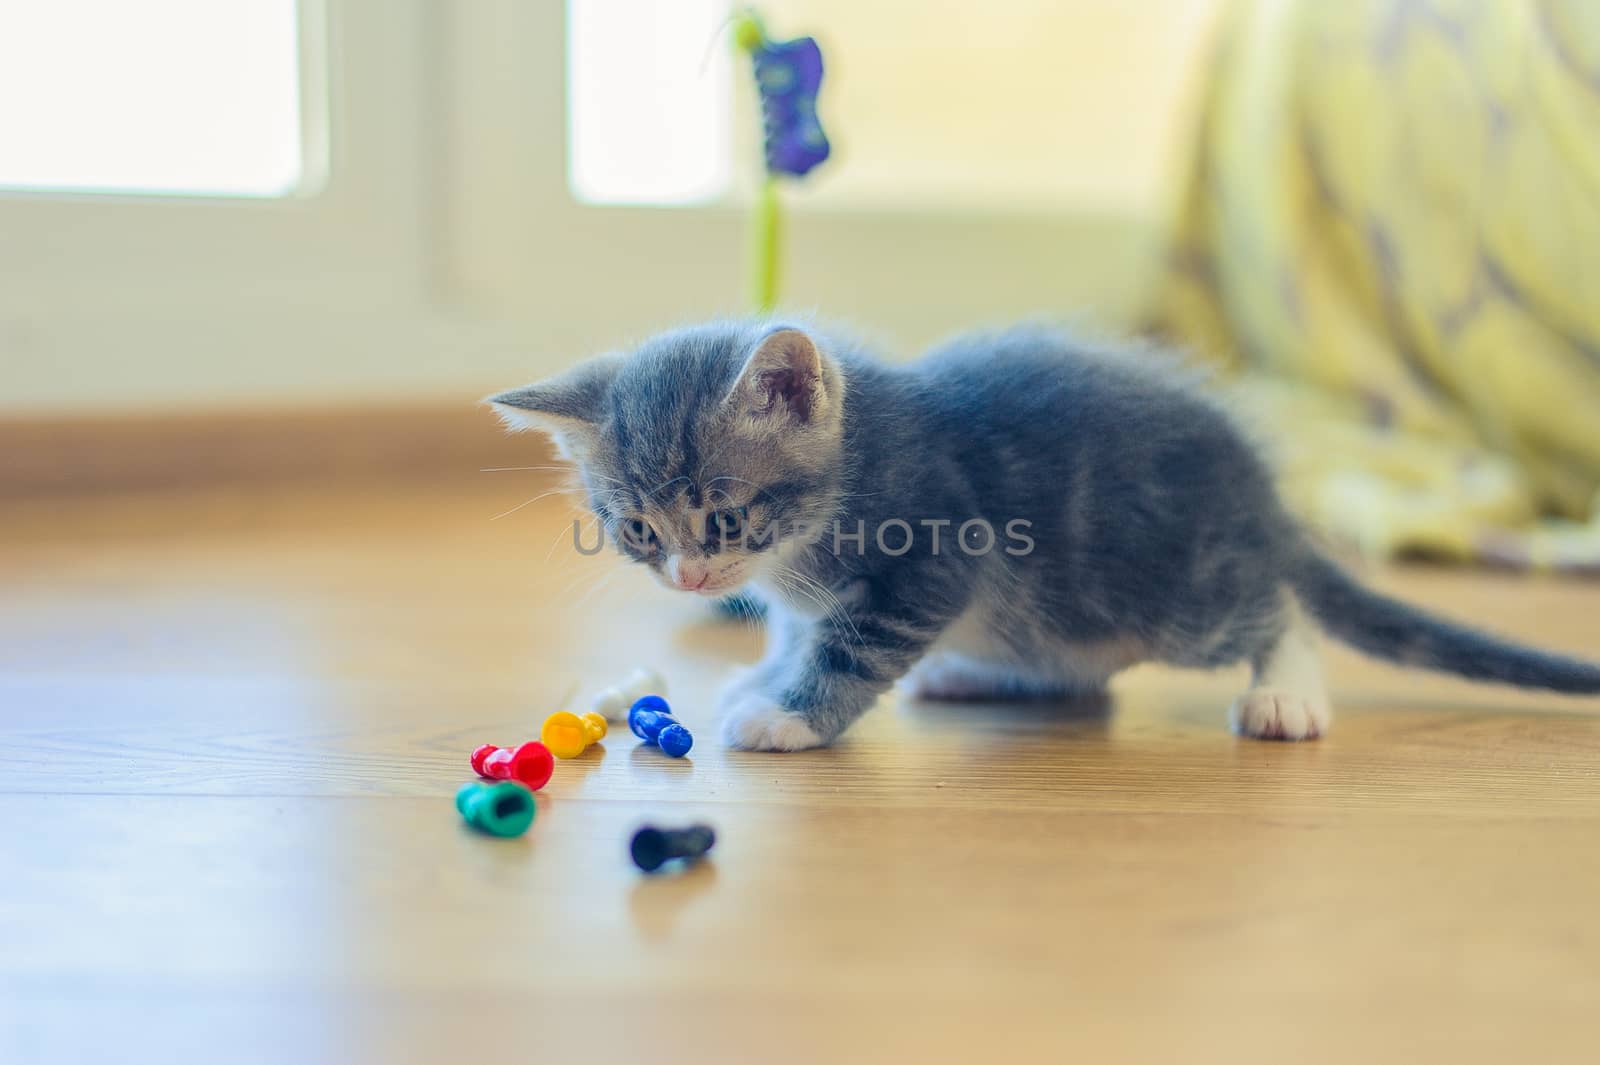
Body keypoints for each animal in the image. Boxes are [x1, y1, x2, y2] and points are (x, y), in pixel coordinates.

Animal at [489, 321, 1600, 745]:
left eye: (723, 515)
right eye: (637, 530)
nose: (686, 576)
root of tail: (1259, 493)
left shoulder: (934, 559)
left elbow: (850, 647)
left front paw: (790, 716)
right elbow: (801, 630)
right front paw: (768, 674)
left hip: (1174, 591)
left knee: (1272, 610)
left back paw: (1286, 691)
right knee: (1077, 669)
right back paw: (969, 675)